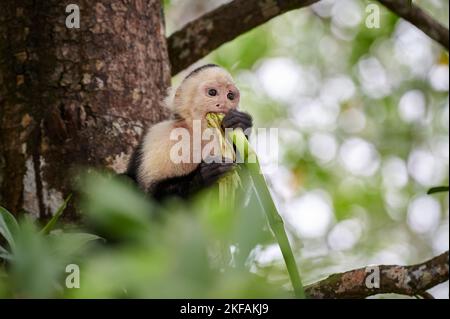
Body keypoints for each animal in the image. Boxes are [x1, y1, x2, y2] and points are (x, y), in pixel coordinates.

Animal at [125, 63, 253, 201]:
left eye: (230, 96)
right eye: (212, 92)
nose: (224, 104)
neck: (198, 132)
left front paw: (241, 123)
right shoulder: (159, 135)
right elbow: (150, 196)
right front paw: (202, 175)